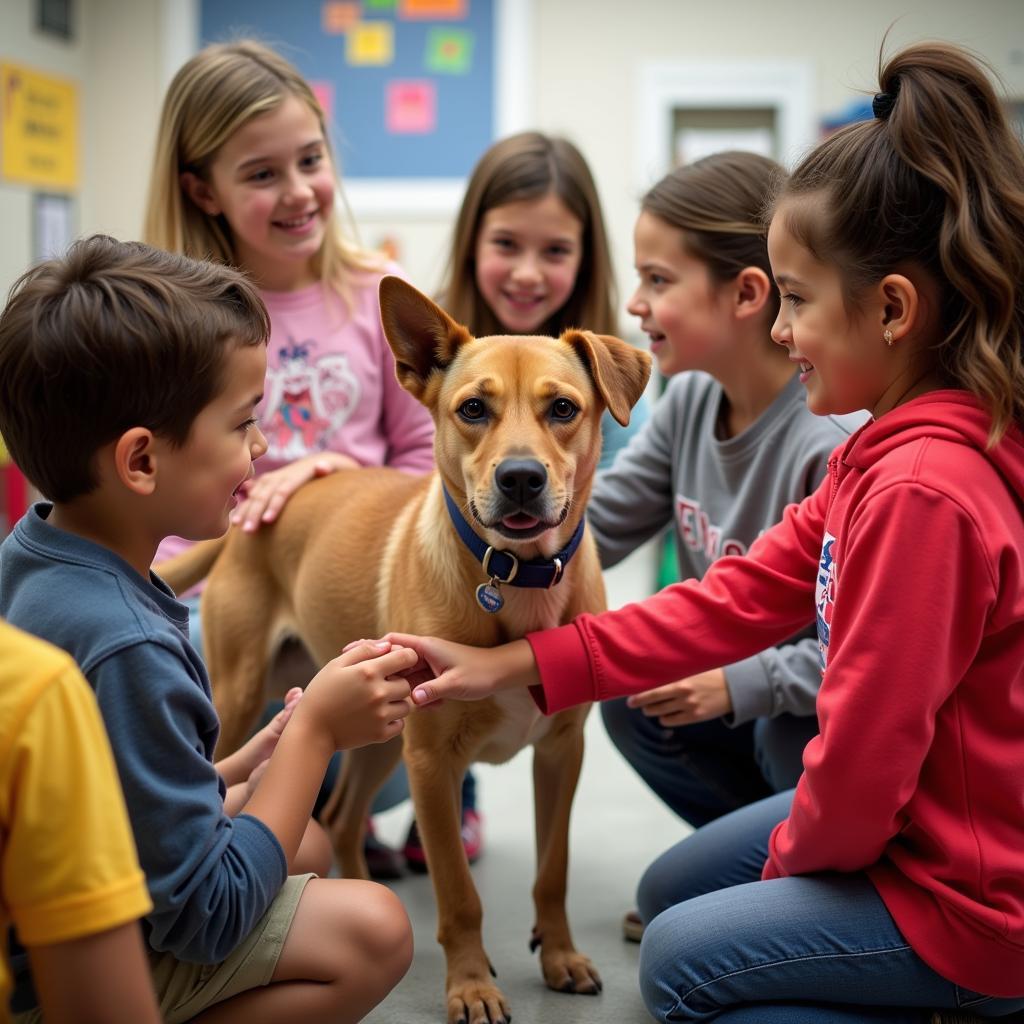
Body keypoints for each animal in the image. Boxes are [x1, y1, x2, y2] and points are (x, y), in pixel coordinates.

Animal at [159, 276, 651, 1019]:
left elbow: (552, 871)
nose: (521, 478)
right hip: (250, 700)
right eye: (473, 408)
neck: (516, 581)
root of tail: (249, 512)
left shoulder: (562, 753)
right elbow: (458, 892)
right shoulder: (433, 766)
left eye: (563, 408)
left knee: (340, 817)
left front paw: (560, 955)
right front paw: (471, 983)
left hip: (378, 731)